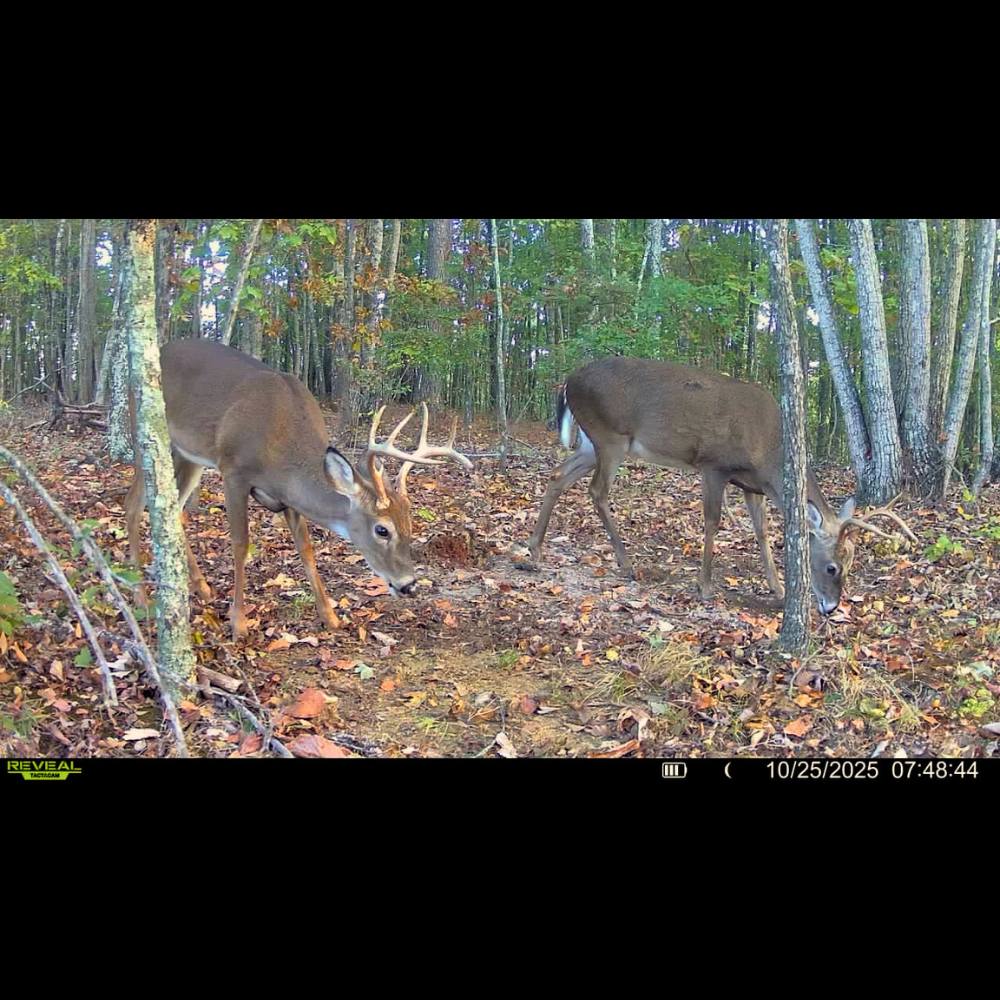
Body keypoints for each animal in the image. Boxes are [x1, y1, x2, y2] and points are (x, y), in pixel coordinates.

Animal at [125, 339, 473, 639]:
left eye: (410, 524)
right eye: (382, 529)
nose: (408, 584)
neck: (282, 448)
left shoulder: (288, 499)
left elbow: (306, 548)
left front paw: (330, 616)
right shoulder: (233, 470)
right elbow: (240, 543)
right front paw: (238, 623)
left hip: (188, 454)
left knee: (175, 511)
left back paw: (201, 587)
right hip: (143, 431)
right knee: (133, 503)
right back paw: (141, 597)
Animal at [527, 357, 915, 615]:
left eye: (852, 562)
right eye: (833, 566)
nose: (832, 607)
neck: (770, 453)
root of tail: (568, 382)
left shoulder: (753, 486)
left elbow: (762, 532)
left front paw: (777, 588)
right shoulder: (715, 465)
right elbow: (712, 522)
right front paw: (706, 585)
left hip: (590, 442)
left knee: (558, 476)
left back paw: (535, 550)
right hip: (611, 436)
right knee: (598, 491)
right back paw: (625, 562)